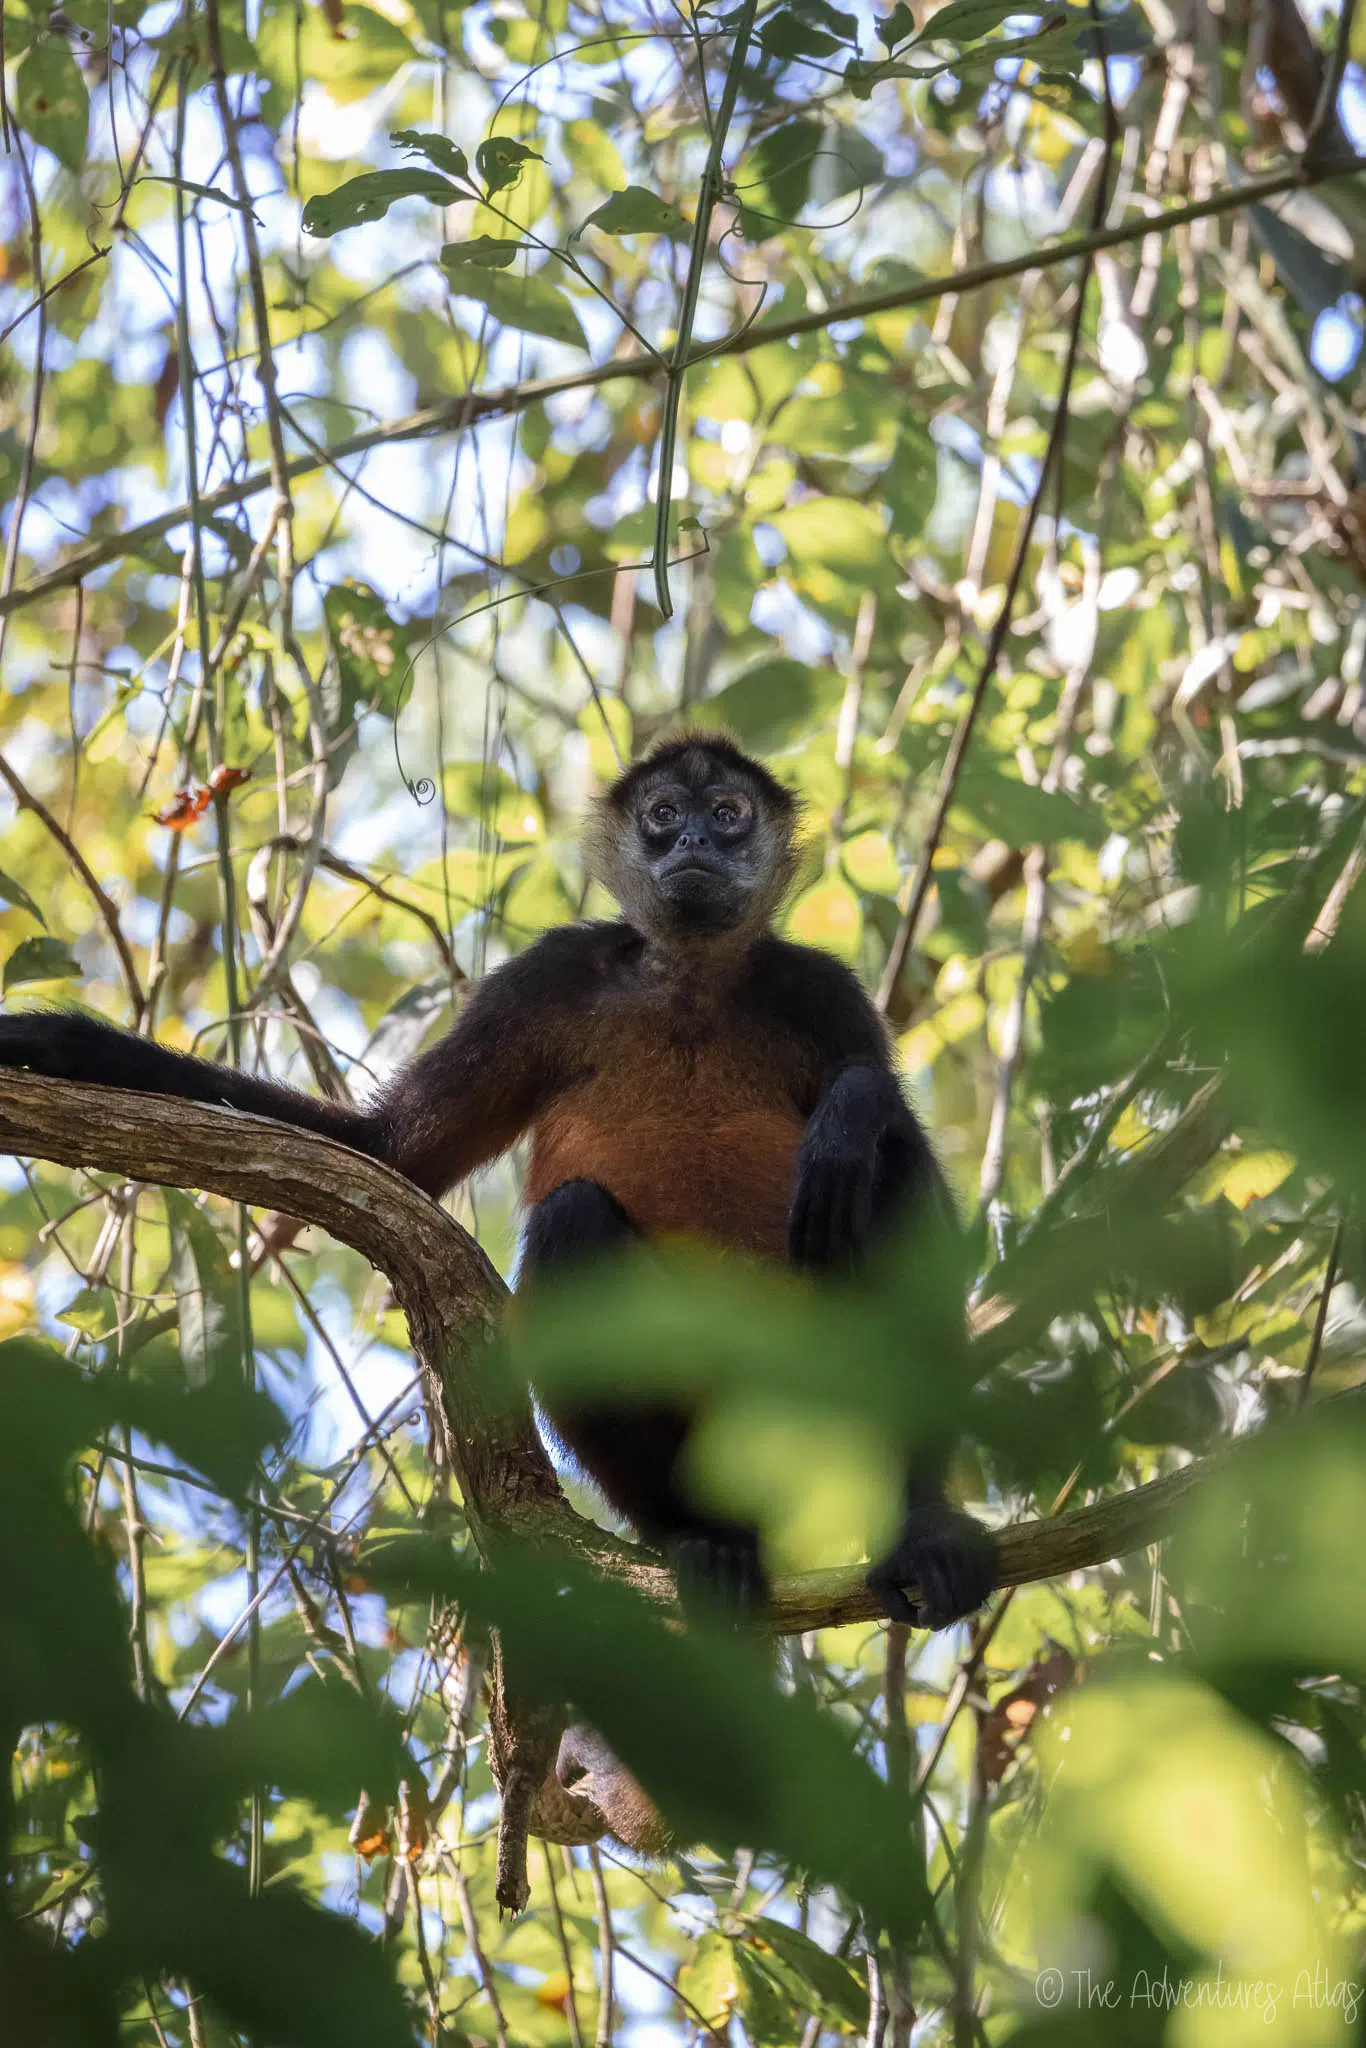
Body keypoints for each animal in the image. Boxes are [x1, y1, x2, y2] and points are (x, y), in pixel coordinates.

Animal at [0, 732, 993, 1632]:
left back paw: (920, 1527)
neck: (688, 978)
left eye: (727, 813)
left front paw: (849, 1110)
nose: (692, 844)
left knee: (891, 1160)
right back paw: (705, 1540)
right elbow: (388, 1149)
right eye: (662, 814)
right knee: (573, 1219)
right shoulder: (545, 981)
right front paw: (57, 1046)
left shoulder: (820, 989)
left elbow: (870, 1100)